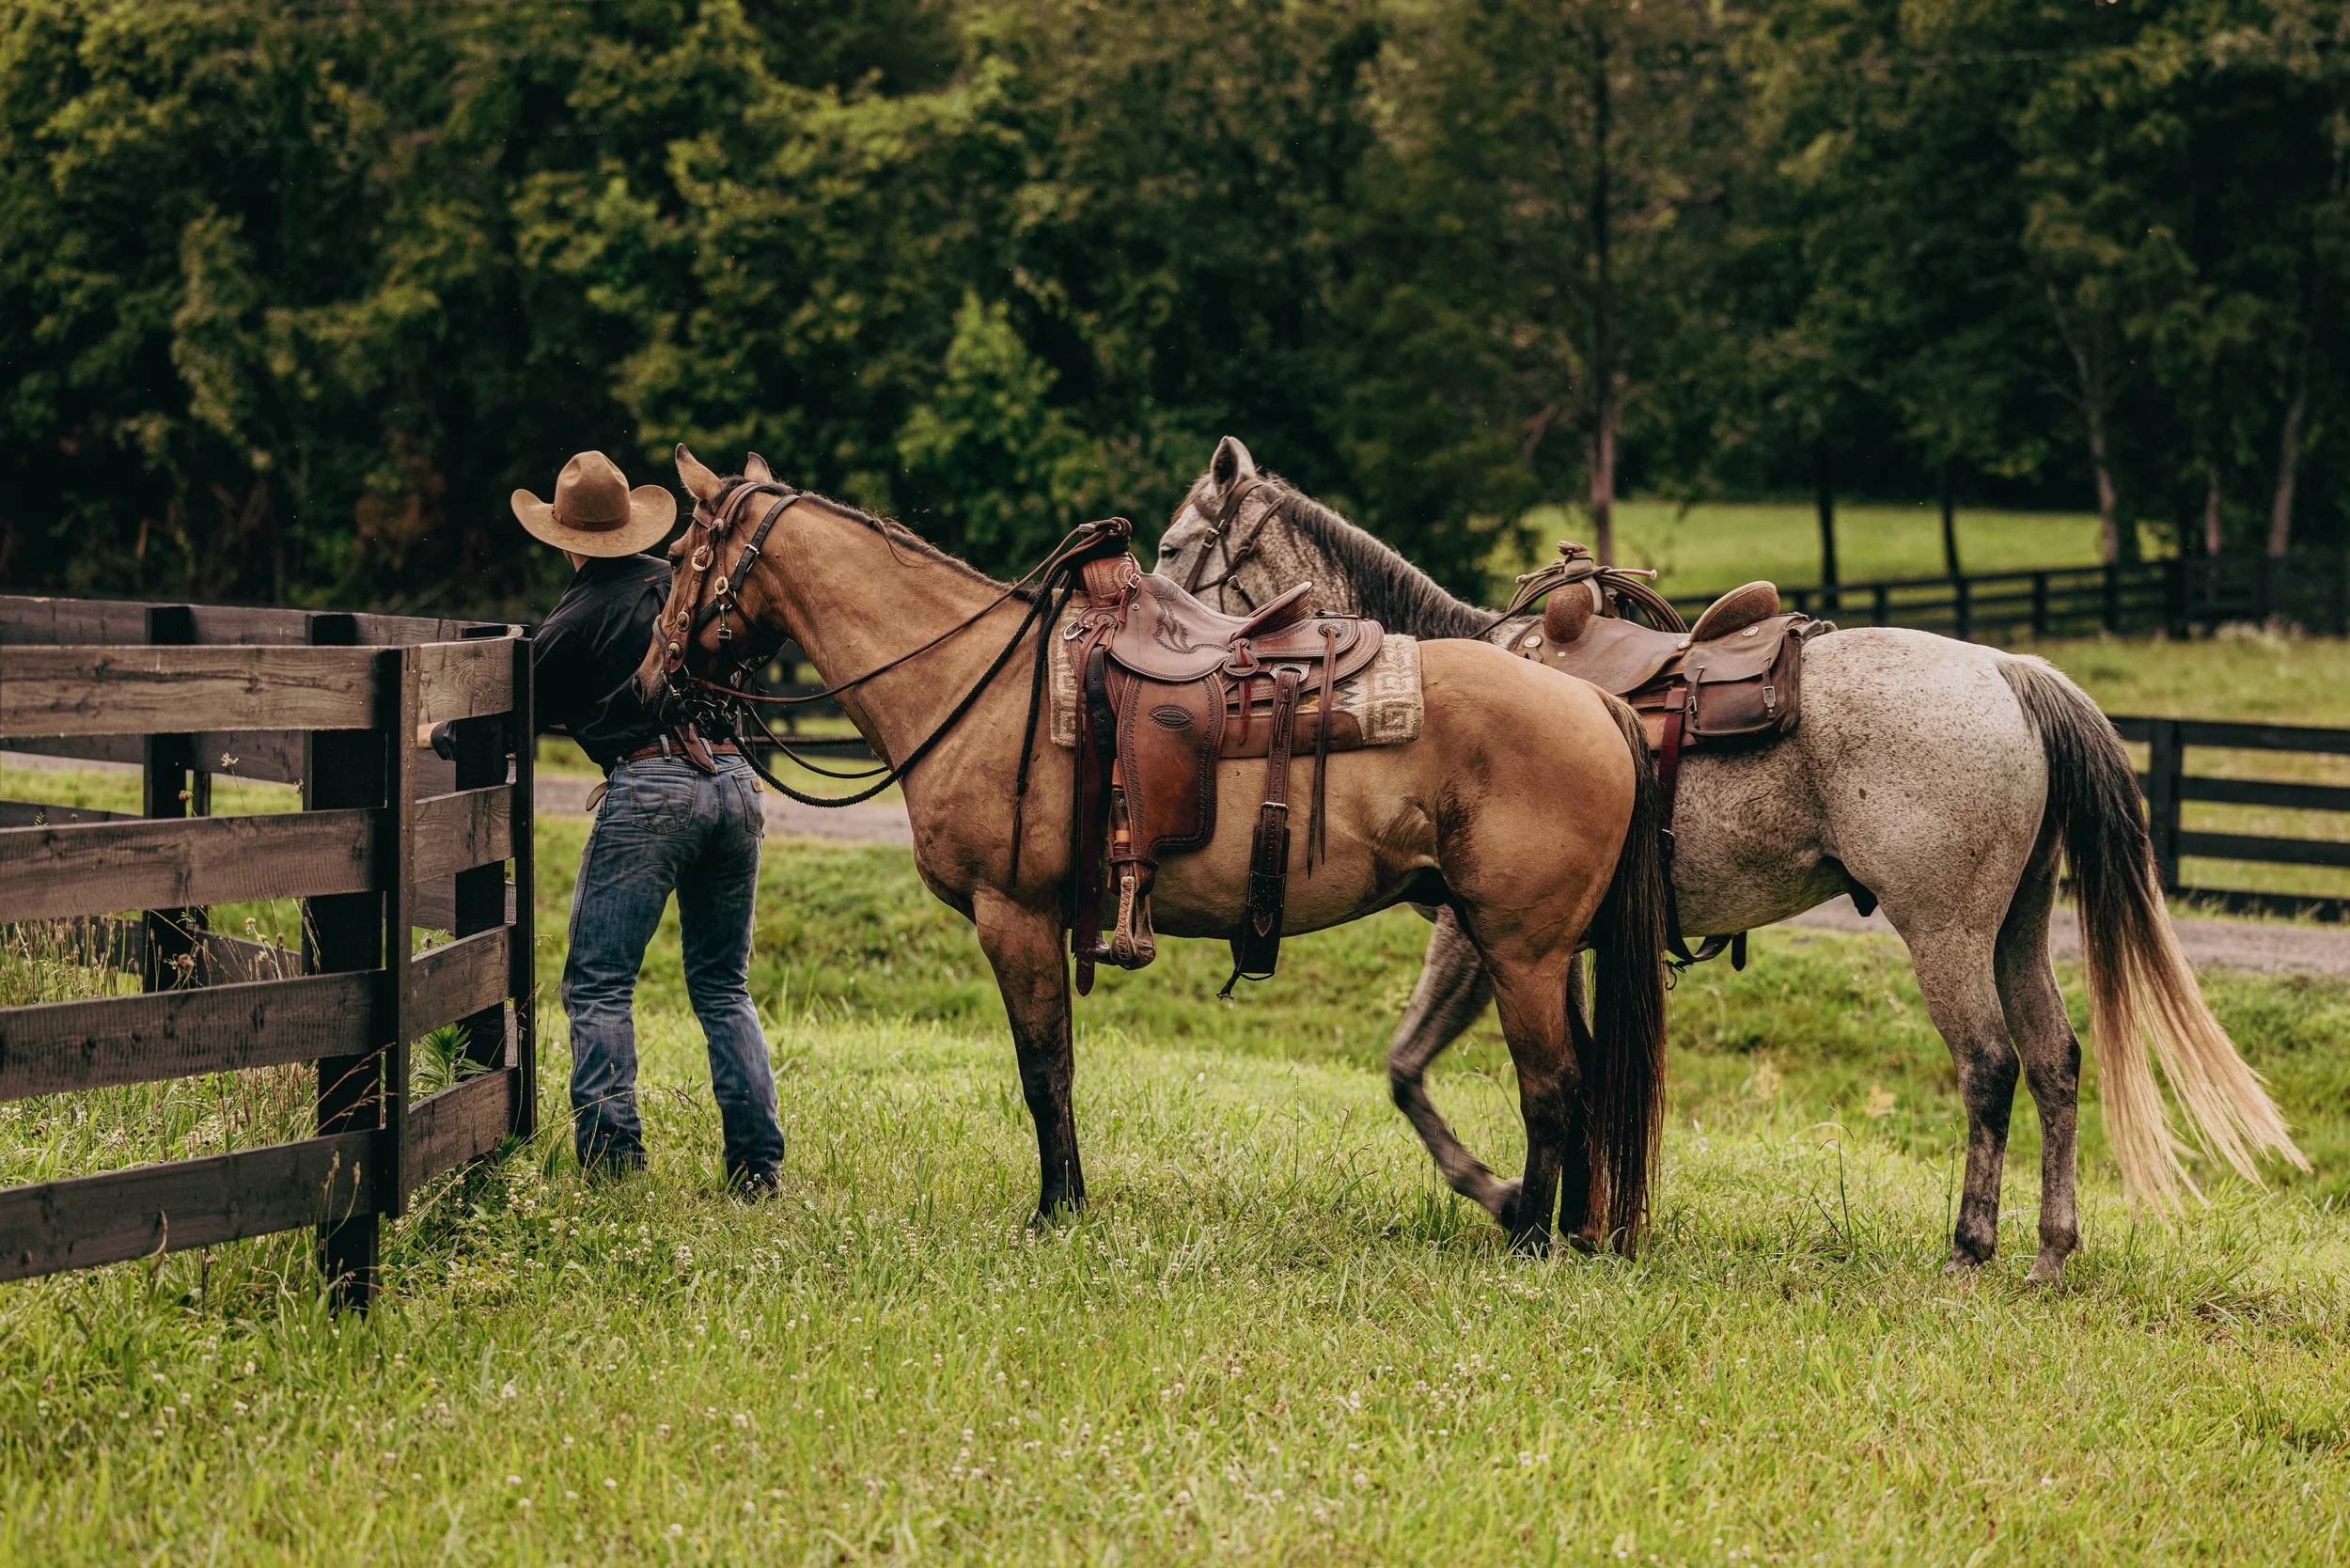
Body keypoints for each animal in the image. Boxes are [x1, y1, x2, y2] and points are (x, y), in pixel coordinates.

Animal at [633, 446, 1675, 1255]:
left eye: (682, 553)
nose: (647, 681)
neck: (973, 682)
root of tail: (1596, 701)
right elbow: (1054, 1069)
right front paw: (1069, 1204)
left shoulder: (1014, 917)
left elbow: (1043, 1071)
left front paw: (1055, 1213)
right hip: (1529, 950)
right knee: (1580, 1081)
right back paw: (1569, 1229)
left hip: (1520, 948)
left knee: (1555, 1085)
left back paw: (1529, 1233)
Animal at [1154, 436, 2307, 1281]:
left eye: (1168, 549)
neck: (1435, 688)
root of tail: (2007, 671)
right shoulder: (1550, 944)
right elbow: (1556, 1065)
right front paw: (1579, 1215)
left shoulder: (1476, 934)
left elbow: (1412, 1069)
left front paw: (1512, 1200)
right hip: (2017, 924)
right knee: (2057, 1062)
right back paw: (2050, 1252)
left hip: (1944, 930)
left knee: (1989, 1066)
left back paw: (1969, 1248)